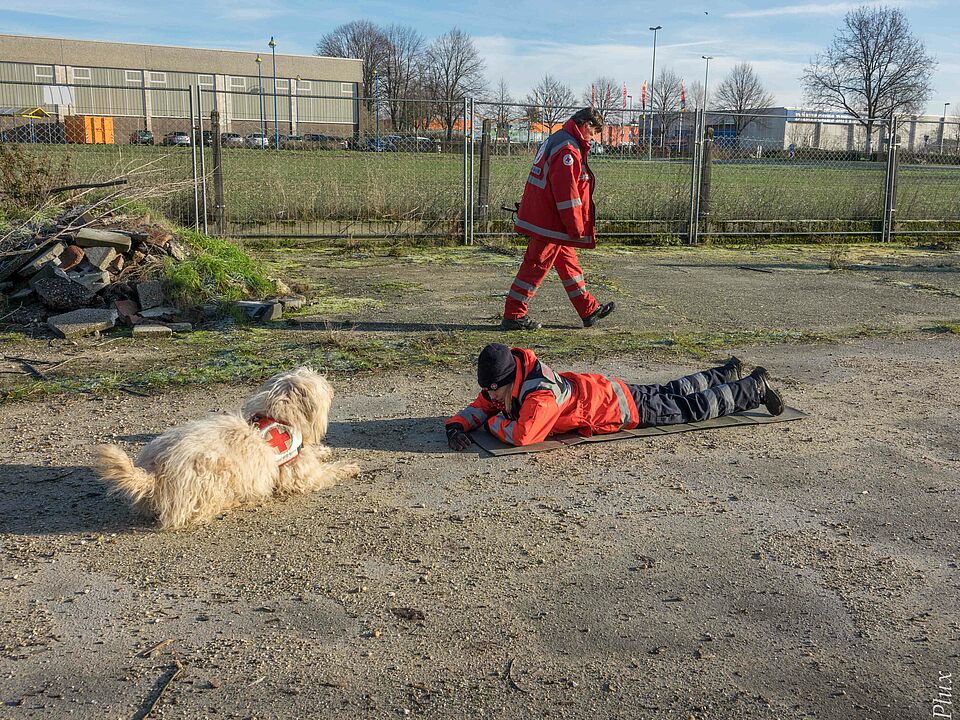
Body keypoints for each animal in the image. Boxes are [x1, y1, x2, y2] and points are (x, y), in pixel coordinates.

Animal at [95, 366, 358, 528]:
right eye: (322, 385)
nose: (332, 388)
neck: (280, 416)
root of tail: (152, 476)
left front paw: (322, 451)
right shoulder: (300, 476)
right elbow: (326, 472)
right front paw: (348, 466)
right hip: (216, 477)